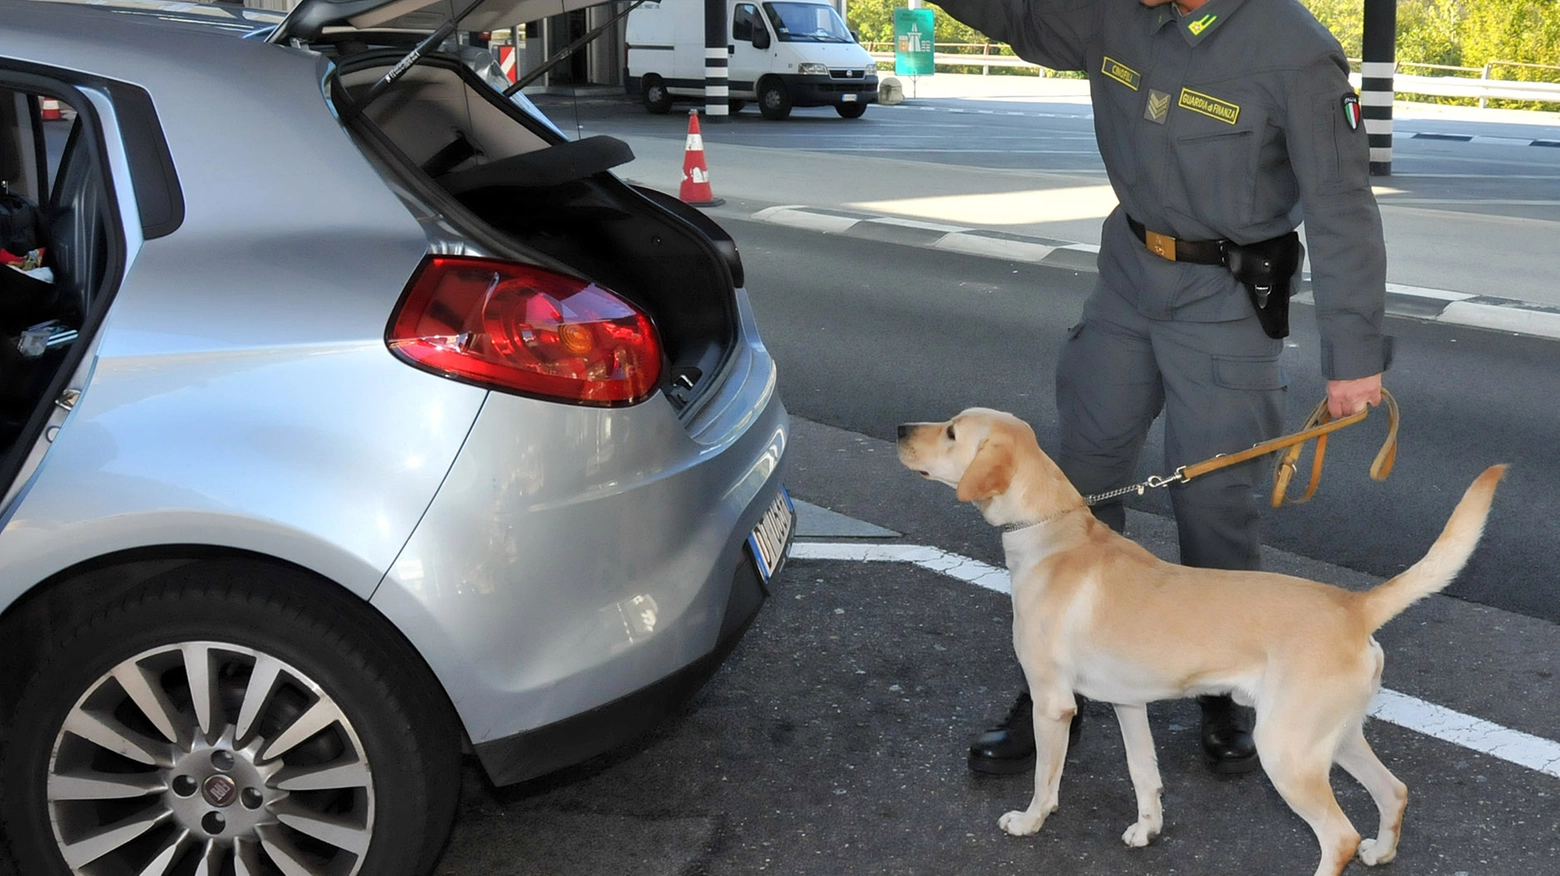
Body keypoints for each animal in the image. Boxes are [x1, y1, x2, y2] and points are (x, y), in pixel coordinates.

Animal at [898, 408, 1503, 872]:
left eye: (951, 432)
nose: (902, 427)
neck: (1054, 533)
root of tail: (1354, 605)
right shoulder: (1129, 703)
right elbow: (1144, 774)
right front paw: (1147, 829)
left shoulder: (1052, 703)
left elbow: (1048, 778)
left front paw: (1028, 822)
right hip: (1333, 738)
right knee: (1393, 791)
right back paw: (1381, 851)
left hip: (1285, 750)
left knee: (1340, 836)